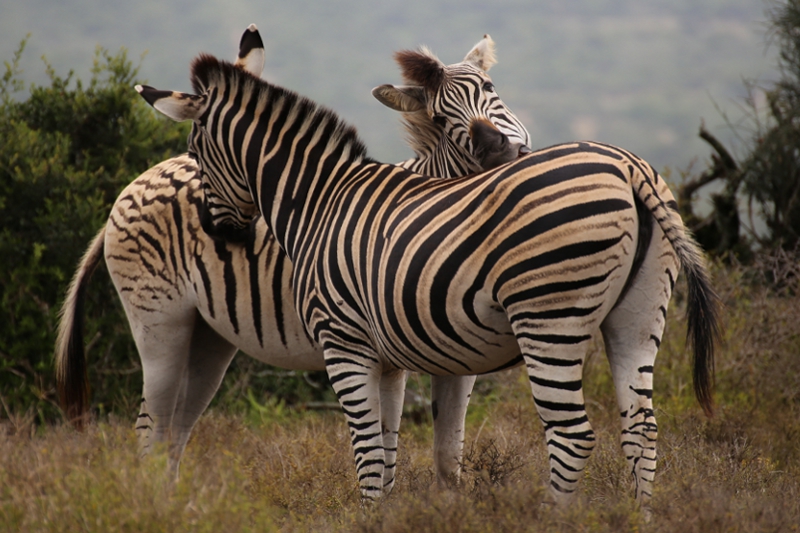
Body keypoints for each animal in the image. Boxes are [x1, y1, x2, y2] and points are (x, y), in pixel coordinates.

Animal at [55, 25, 530, 490]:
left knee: (176, 427)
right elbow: (384, 458)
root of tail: (135, 182)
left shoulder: (450, 362)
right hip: (158, 323)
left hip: (208, 336)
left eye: (490, 88)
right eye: (439, 118)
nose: (498, 150)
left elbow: (444, 460)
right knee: (149, 428)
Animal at [136, 48, 720, 510]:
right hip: (638, 316)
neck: (319, 200)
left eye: (196, 153)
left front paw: (369, 517)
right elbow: (398, 450)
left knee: (572, 436)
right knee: (641, 431)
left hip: (547, 318)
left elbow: (369, 453)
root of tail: (627, 166)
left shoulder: (342, 342)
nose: (217, 232)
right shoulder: (391, 354)